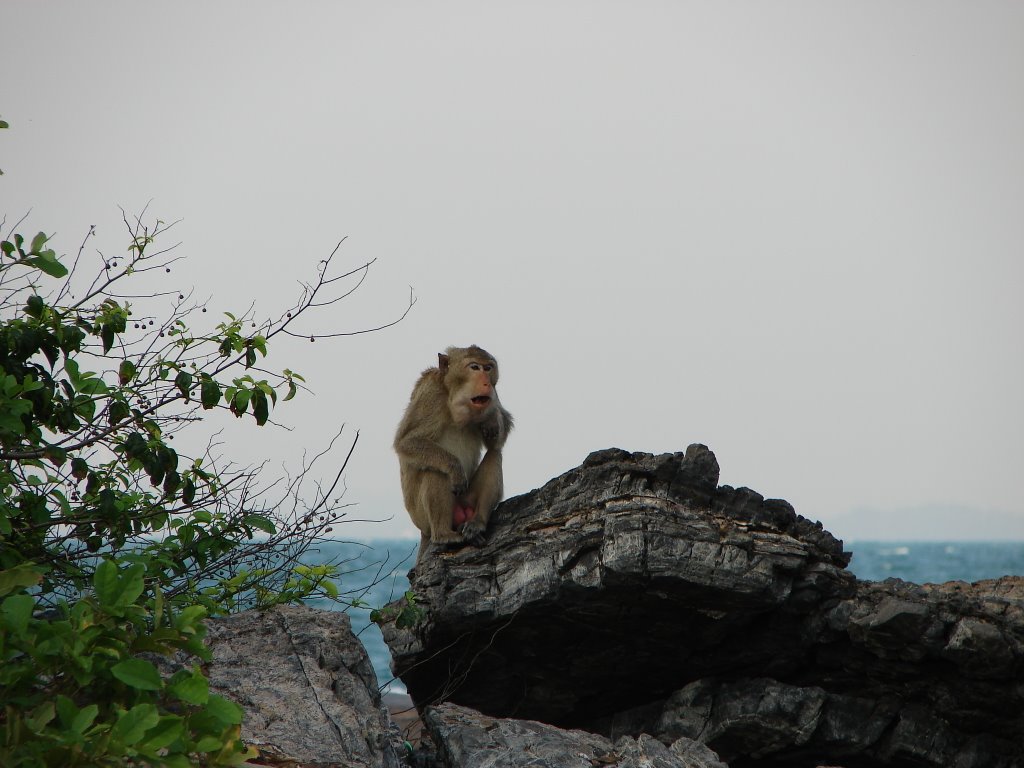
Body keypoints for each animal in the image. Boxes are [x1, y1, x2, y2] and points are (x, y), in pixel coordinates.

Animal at [395, 346, 516, 548]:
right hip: (421, 517)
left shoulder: (494, 395)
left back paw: (477, 523)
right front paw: (455, 467)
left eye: (488, 368)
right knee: (436, 470)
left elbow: (498, 438)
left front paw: (491, 417)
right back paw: (443, 535)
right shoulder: (431, 395)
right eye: (474, 367)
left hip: (467, 500)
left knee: (494, 454)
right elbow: (407, 441)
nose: (486, 383)